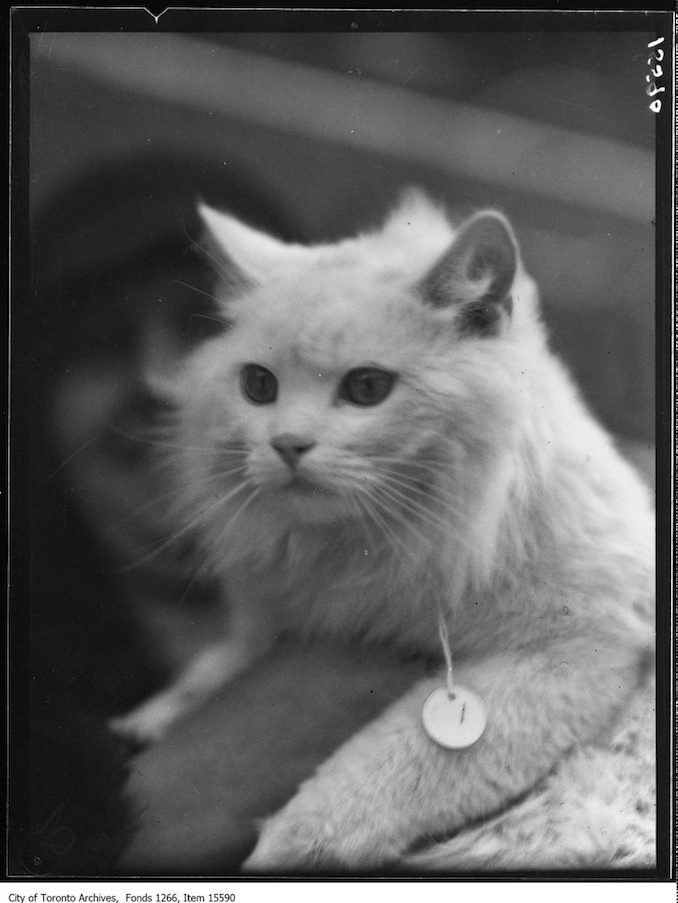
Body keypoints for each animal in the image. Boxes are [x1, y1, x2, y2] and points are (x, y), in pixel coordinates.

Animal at [113, 192, 660, 876]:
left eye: (368, 388)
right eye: (258, 386)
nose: (286, 445)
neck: (363, 550)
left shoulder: (570, 652)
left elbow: (381, 774)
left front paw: (282, 850)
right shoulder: (271, 615)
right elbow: (215, 669)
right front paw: (147, 721)